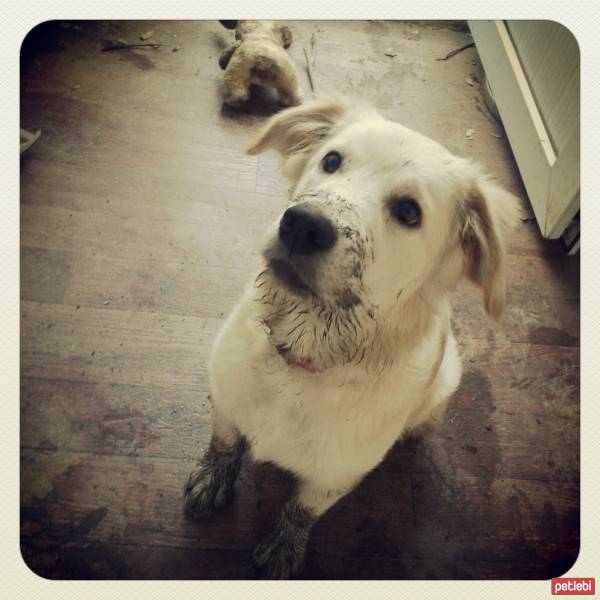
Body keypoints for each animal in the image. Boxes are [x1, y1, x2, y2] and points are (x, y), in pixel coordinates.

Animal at [183, 97, 520, 576]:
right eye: (331, 161)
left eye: (409, 212)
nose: (302, 225)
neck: (303, 361)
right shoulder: (226, 400)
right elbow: (224, 442)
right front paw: (212, 478)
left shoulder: (335, 475)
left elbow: (301, 510)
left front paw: (282, 551)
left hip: (448, 373)